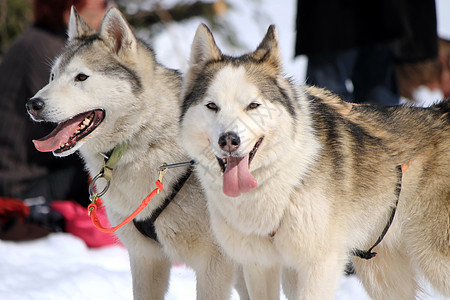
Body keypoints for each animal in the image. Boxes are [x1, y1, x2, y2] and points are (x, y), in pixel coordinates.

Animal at [179, 24, 450, 300]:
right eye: (212, 106)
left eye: (253, 105)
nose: (228, 140)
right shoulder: (259, 265)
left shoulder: (320, 265)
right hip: (382, 274)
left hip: (434, 259)